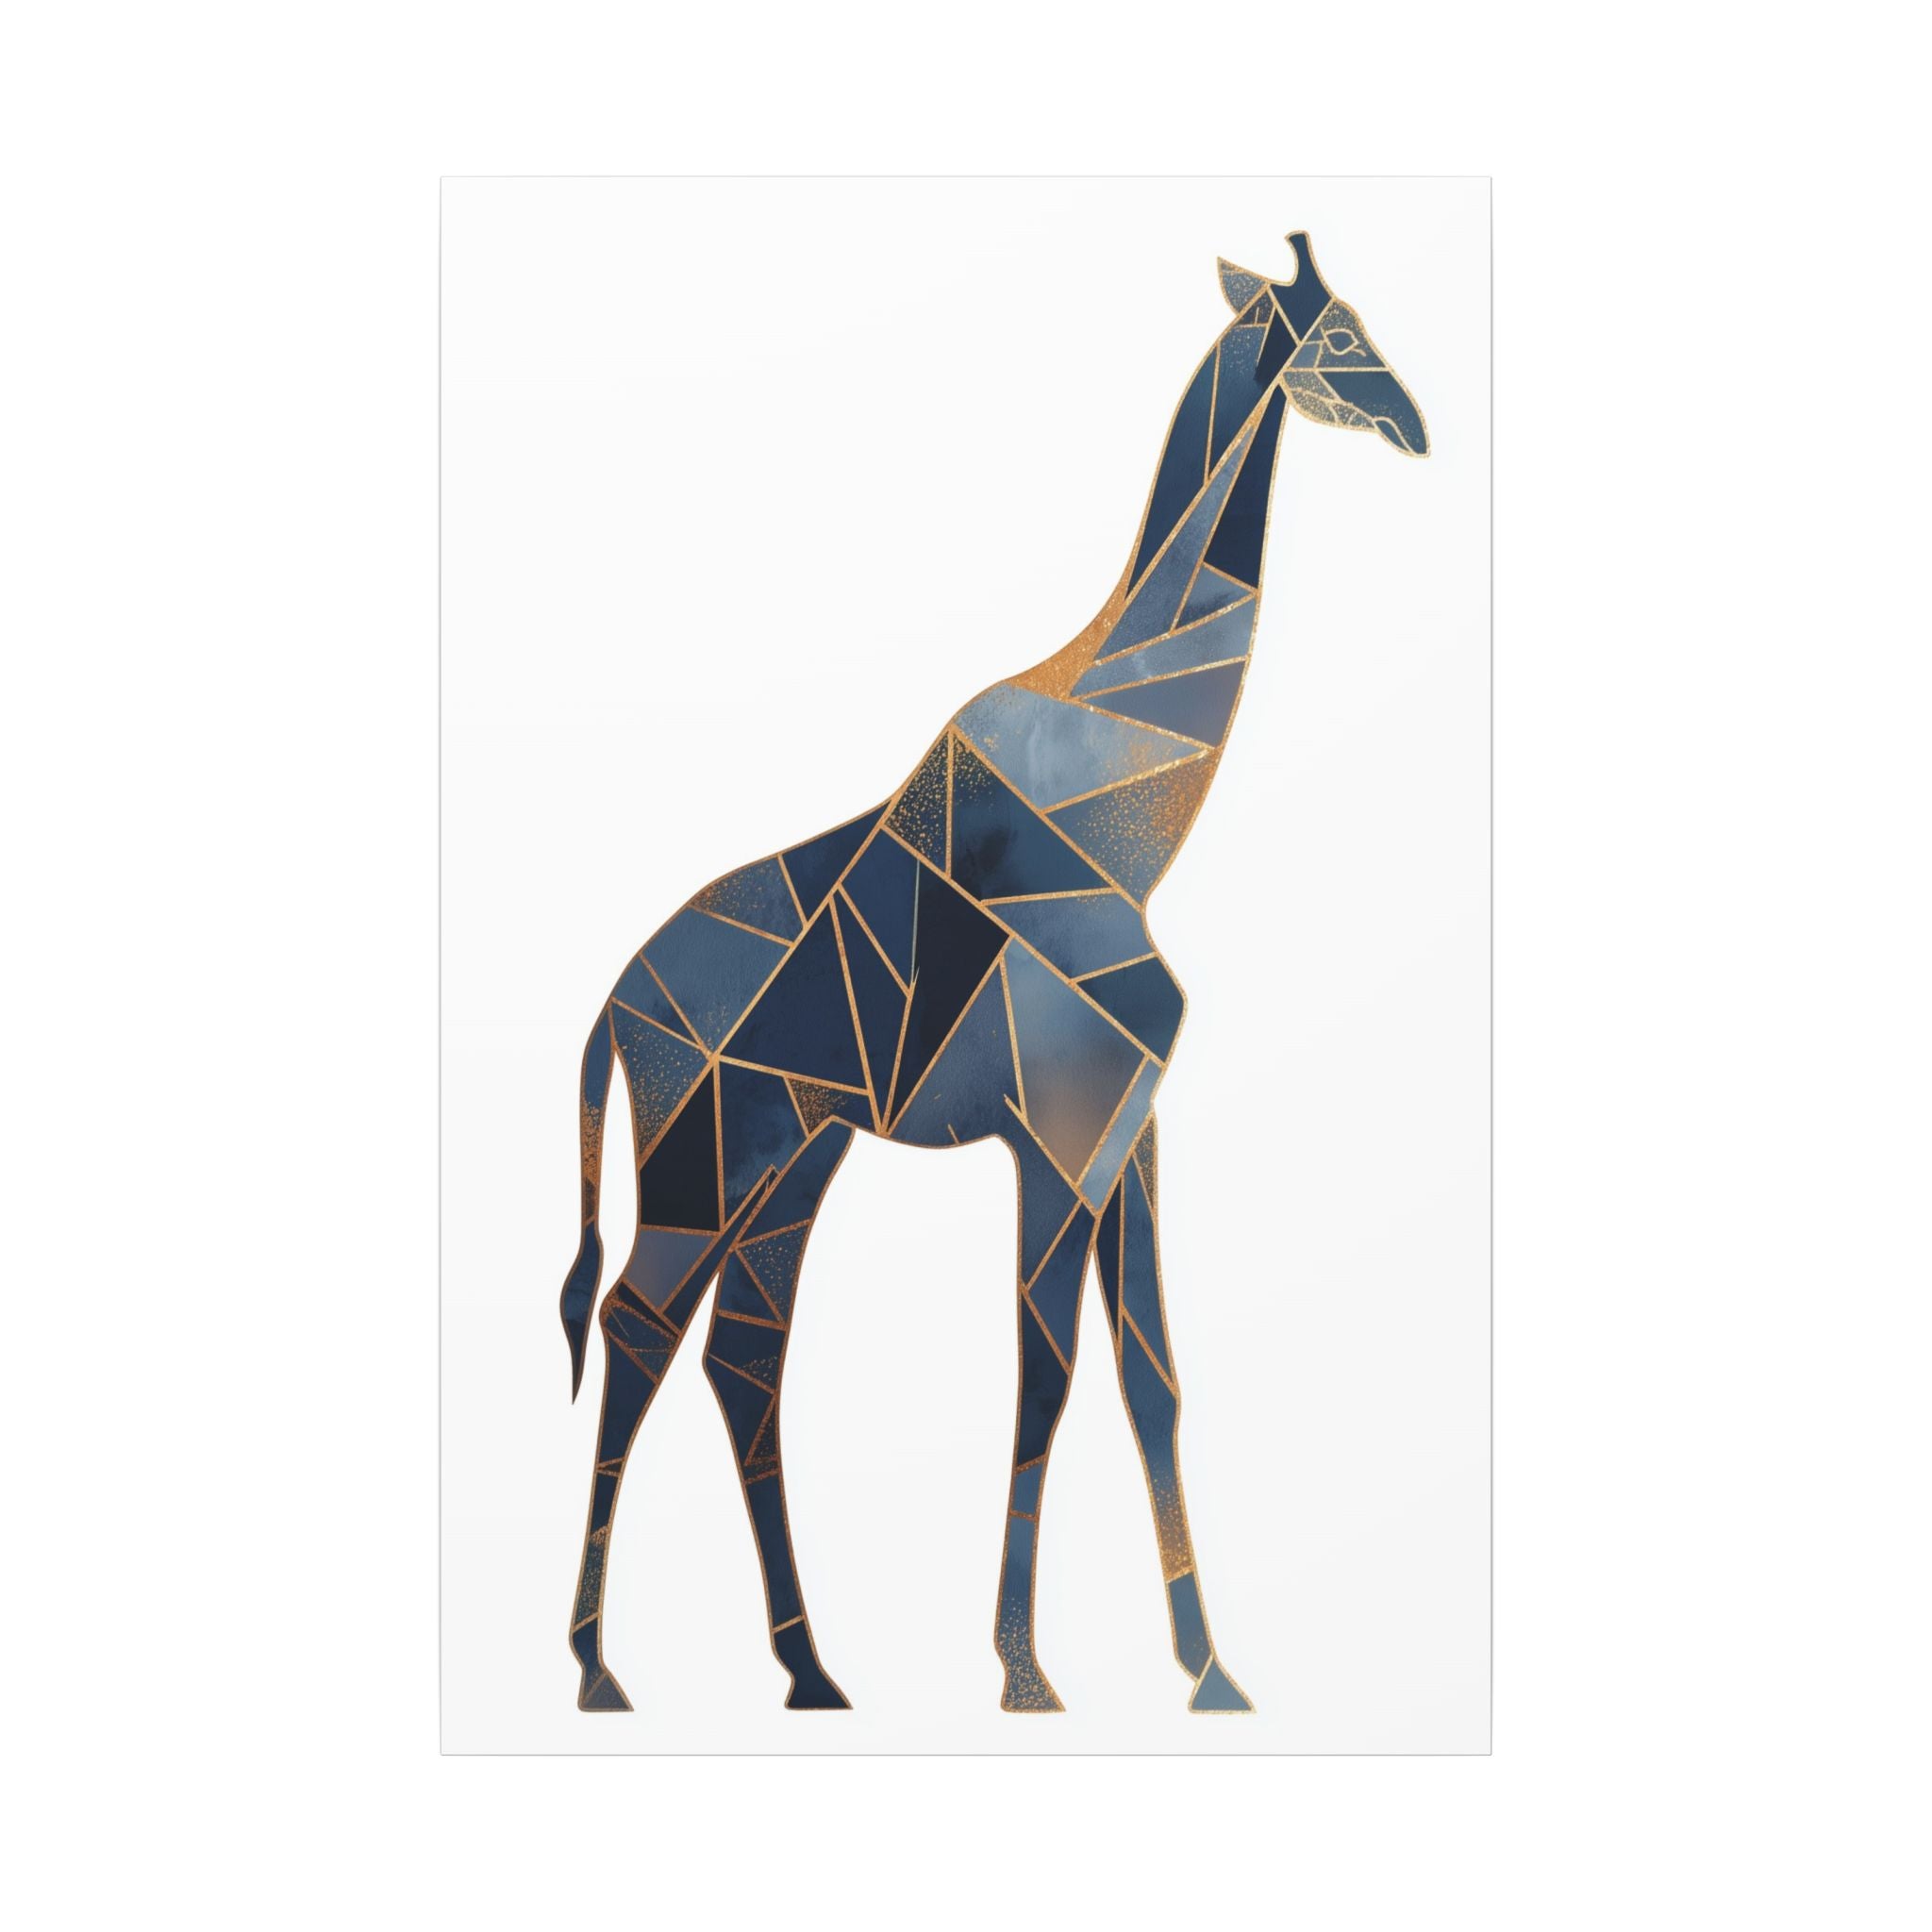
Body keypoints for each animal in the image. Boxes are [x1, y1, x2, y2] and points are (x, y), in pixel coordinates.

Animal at [558, 230, 1428, 1716]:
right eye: (1337, 335)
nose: (1415, 424)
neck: (1132, 814)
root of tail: (612, 1009)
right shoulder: (1059, 1131)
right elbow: (1049, 1374)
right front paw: (1025, 1672)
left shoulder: (1129, 1128)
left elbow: (1151, 1377)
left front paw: (1209, 1672)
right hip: (701, 1157)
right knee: (633, 1331)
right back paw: (598, 1669)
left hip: (792, 1161)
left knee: (742, 1354)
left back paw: (810, 1670)